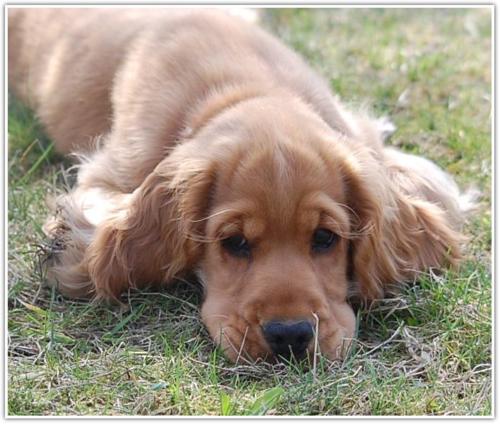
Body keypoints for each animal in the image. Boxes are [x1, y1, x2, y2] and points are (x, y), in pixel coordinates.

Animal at [6, 8, 468, 362]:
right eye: (234, 243)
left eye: (325, 238)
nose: (289, 335)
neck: (244, 88)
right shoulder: (109, 173)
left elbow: (430, 189)